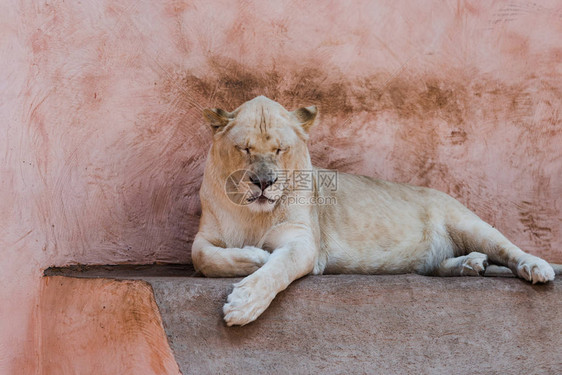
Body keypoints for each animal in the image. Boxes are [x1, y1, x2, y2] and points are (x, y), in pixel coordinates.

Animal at [190, 96, 552, 326]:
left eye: (280, 149)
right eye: (244, 148)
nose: (264, 182)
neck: (251, 213)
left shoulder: (303, 242)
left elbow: (276, 269)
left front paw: (244, 302)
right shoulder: (204, 237)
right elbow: (204, 257)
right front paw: (254, 255)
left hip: (469, 223)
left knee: (509, 249)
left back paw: (536, 267)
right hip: (435, 257)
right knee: (438, 267)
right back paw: (471, 264)